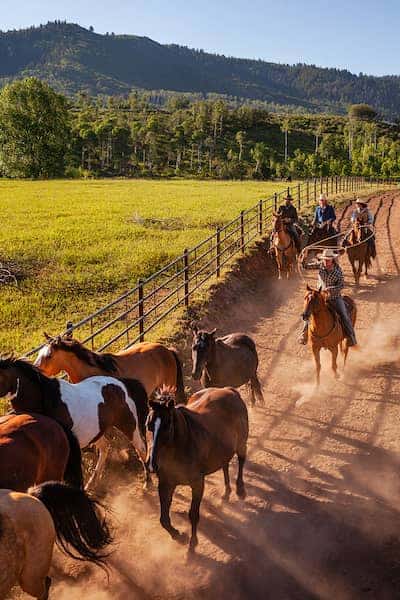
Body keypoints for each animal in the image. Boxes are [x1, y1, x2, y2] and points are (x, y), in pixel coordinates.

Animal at [0, 358, 149, 490]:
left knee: (141, 449)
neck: (45, 399)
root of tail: (121, 383)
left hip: (128, 425)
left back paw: (147, 484)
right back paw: (92, 483)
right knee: (105, 447)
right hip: (96, 433)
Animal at [147, 386, 247, 552]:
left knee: (241, 460)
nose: (151, 465)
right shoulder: (165, 484)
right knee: (225, 464)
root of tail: (229, 390)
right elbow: (163, 519)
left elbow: (193, 514)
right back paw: (227, 489)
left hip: (241, 443)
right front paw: (177, 535)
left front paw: (193, 541)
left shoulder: (197, 484)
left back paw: (240, 488)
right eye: (149, 426)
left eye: (167, 426)